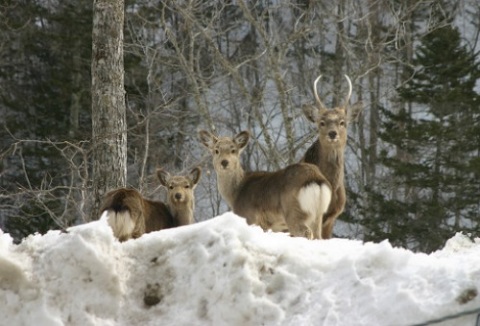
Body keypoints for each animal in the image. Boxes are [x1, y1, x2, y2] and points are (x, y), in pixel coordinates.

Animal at [198, 130, 330, 239]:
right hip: (318, 216)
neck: (235, 194)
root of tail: (316, 179)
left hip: (294, 212)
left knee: (306, 233)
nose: (224, 162)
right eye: (216, 150)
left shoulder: (249, 218)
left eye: (233, 150)